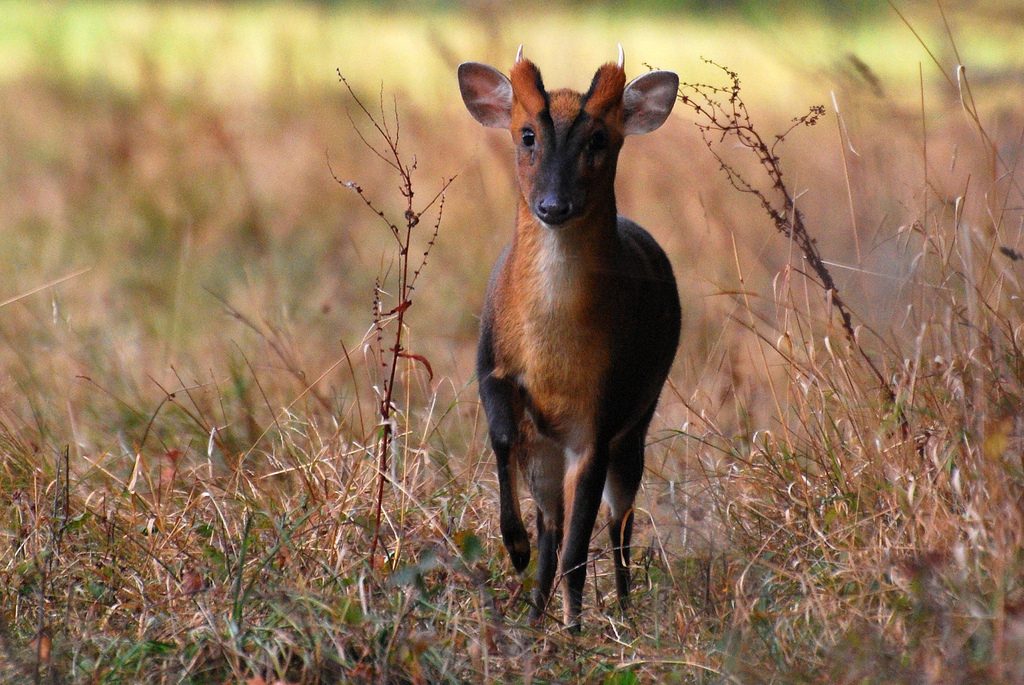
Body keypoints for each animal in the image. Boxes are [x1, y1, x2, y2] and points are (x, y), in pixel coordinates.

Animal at [460, 45, 684, 626]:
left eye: (599, 139)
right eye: (526, 135)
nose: (553, 206)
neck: (553, 352)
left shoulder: (599, 417)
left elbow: (580, 546)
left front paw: (577, 625)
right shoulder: (490, 365)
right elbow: (501, 438)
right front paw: (513, 546)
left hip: (637, 422)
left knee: (618, 523)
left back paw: (619, 607)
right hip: (550, 447)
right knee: (554, 525)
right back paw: (536, 609)